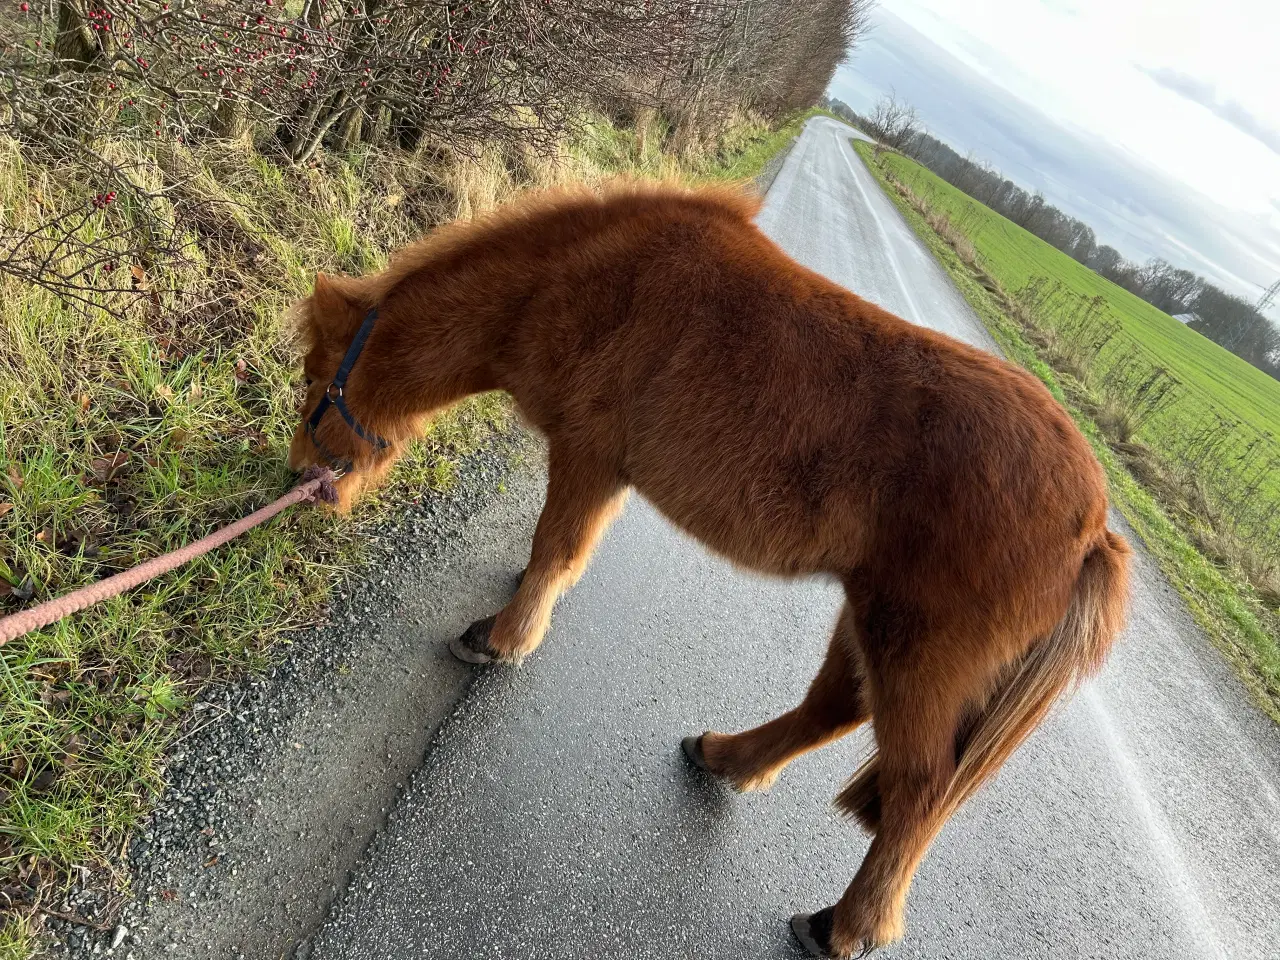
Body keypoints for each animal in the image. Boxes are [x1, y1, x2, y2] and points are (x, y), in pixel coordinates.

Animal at [290, 179, 1131, 957]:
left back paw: (840, 926)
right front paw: (517, 607)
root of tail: (1094, 529)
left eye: (311, 383)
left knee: (918, 790)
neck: (576, 278)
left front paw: (502, 639)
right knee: (829, 712)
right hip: (870, 622)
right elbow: (556, 555)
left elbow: (556, 548)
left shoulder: (590, 455)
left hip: (919, 653)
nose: (300, 480)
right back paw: (725, 757)